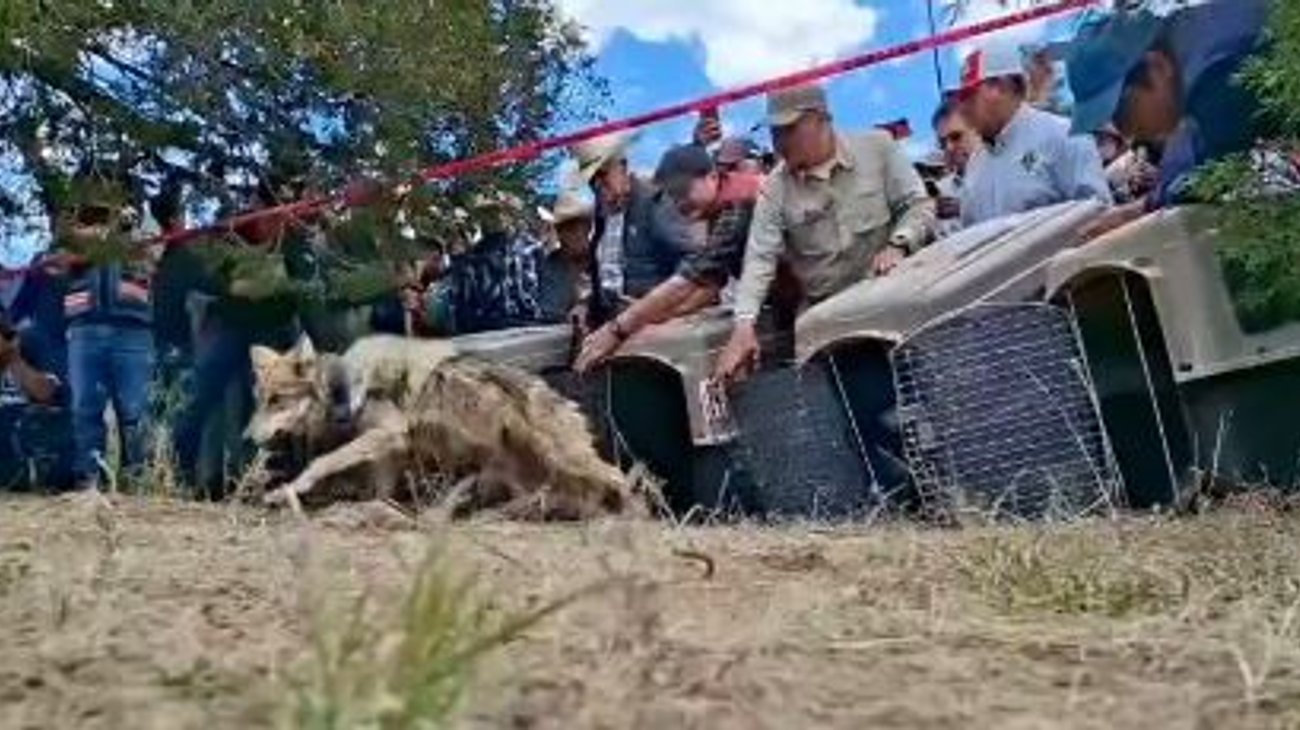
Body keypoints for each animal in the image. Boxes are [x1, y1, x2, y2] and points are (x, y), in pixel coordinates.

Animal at [246, 334, 634, 520]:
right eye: (259, 399)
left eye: (277, 400)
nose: (246, 437)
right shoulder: (390, 450)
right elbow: (378, 488)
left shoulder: (389, 434)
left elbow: (321, 462)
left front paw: (290, 489)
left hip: (563, 460)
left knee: (619, 477)